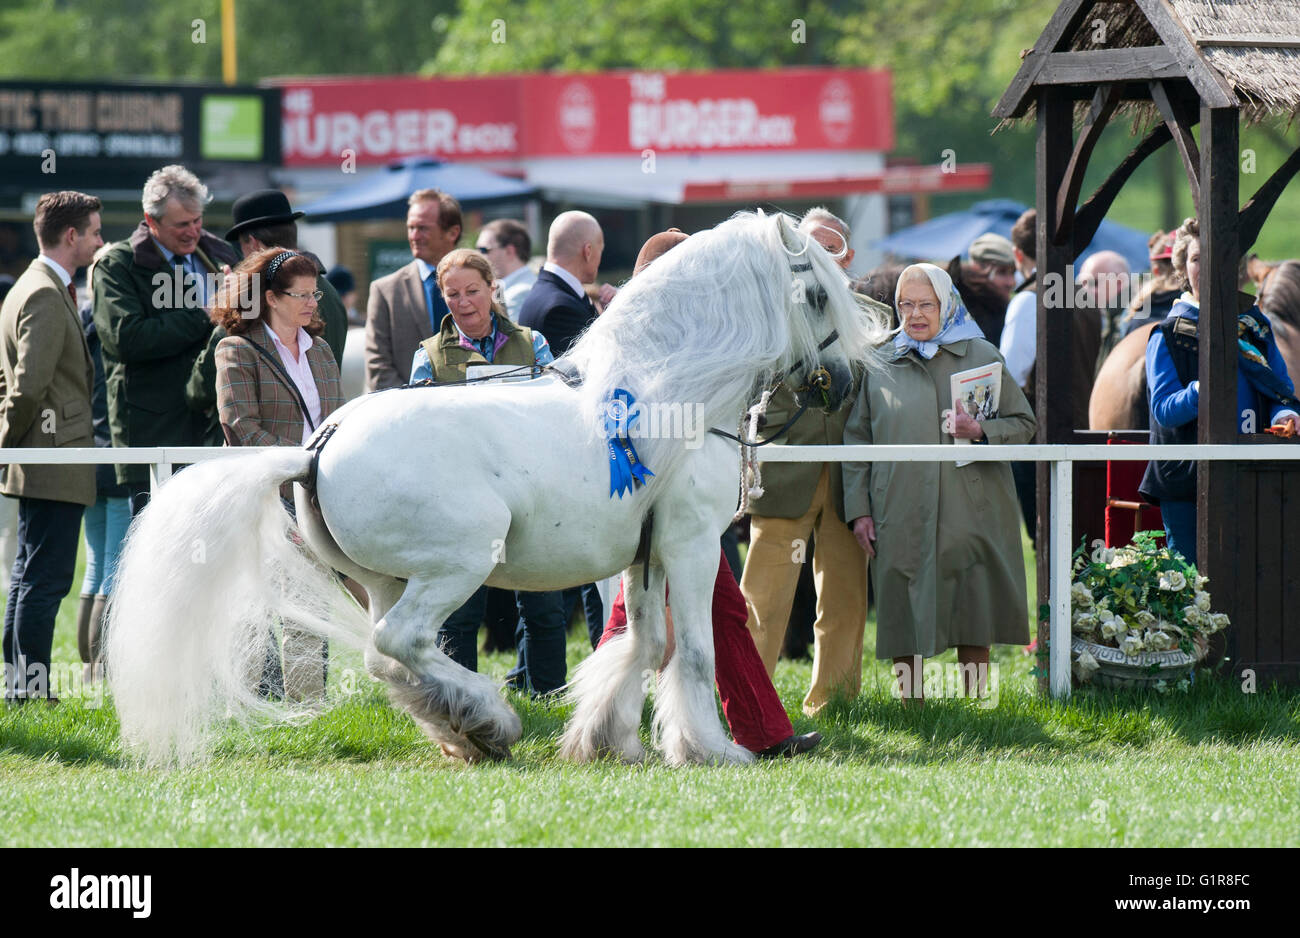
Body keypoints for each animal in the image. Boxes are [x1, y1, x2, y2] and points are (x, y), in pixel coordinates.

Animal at [106, 214, 889, 769]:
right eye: (816, 293)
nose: (843, 385)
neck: (670, 394)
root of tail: (315, 446)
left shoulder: (645, 556)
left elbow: (644, 642)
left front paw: (605, 738)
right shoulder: (694, 545)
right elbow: (693, 650)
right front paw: (710, 748)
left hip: (387, 579)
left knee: (387, 658)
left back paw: (467, 728)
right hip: (457, 566)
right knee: (400, 642)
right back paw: (491, 719)